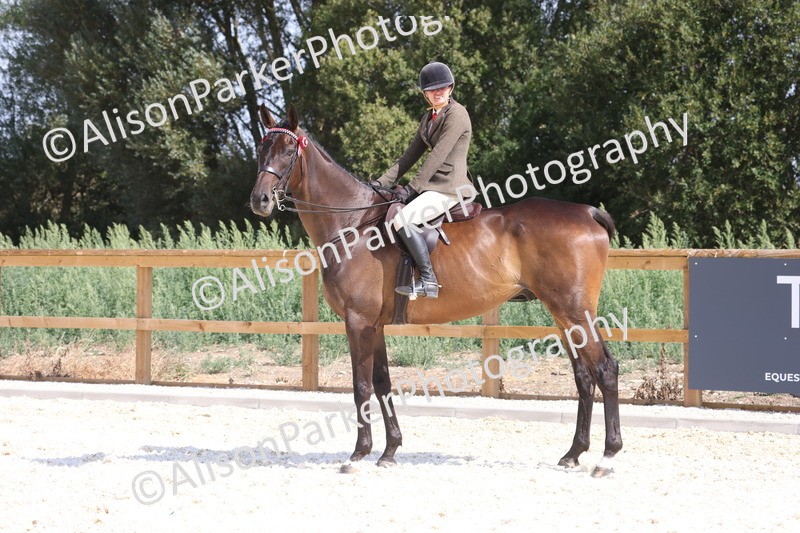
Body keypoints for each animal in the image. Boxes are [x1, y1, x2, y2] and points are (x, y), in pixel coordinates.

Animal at [250, 104, 622, 477]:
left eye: (288, 152)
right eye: (261, 150)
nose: (259, 200)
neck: (353, 226)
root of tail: (587, 212)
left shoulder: (358, 322)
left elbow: (361, 387)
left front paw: (357, 454)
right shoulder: (375, 325)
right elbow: (383, 383)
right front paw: (390, 451)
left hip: (574, 311)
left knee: (605, 369)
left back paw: (607, 456)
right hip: (564, 316)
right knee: (583, 376)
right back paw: (573, 453)